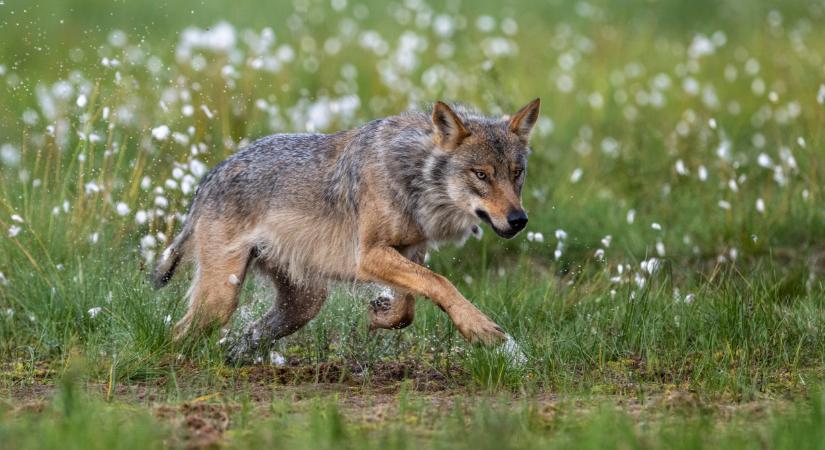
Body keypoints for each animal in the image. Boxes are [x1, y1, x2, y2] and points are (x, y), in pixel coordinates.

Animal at [150, 98, 540, 362]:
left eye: (516, 173)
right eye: (481, 175)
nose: (519, 220)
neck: (412, 174)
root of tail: (208, 178)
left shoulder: (411, 251)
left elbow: (410, 305)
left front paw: (381, 313)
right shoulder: (368, 256)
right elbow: (442, 284)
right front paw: (483, 331)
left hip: (304, 304)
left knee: (248, 334)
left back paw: (232, 358)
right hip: (222, 300)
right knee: (178, 333)